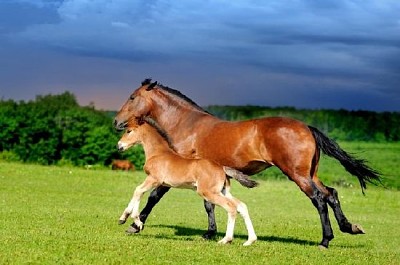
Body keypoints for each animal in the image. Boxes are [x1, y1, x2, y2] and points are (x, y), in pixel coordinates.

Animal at [117, 116, 258, 244]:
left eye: (129, 131)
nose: (119, 146)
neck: (158, 153)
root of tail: (221, 167)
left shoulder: (154, 179)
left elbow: (138, 190)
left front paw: (136, 221)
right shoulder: (156, 181)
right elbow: (138, 192)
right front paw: (123, 218)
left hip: (208, 192)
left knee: (231, 207)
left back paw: (226, 239)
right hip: (223, 191)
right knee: (241, 206)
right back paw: (250, 240)